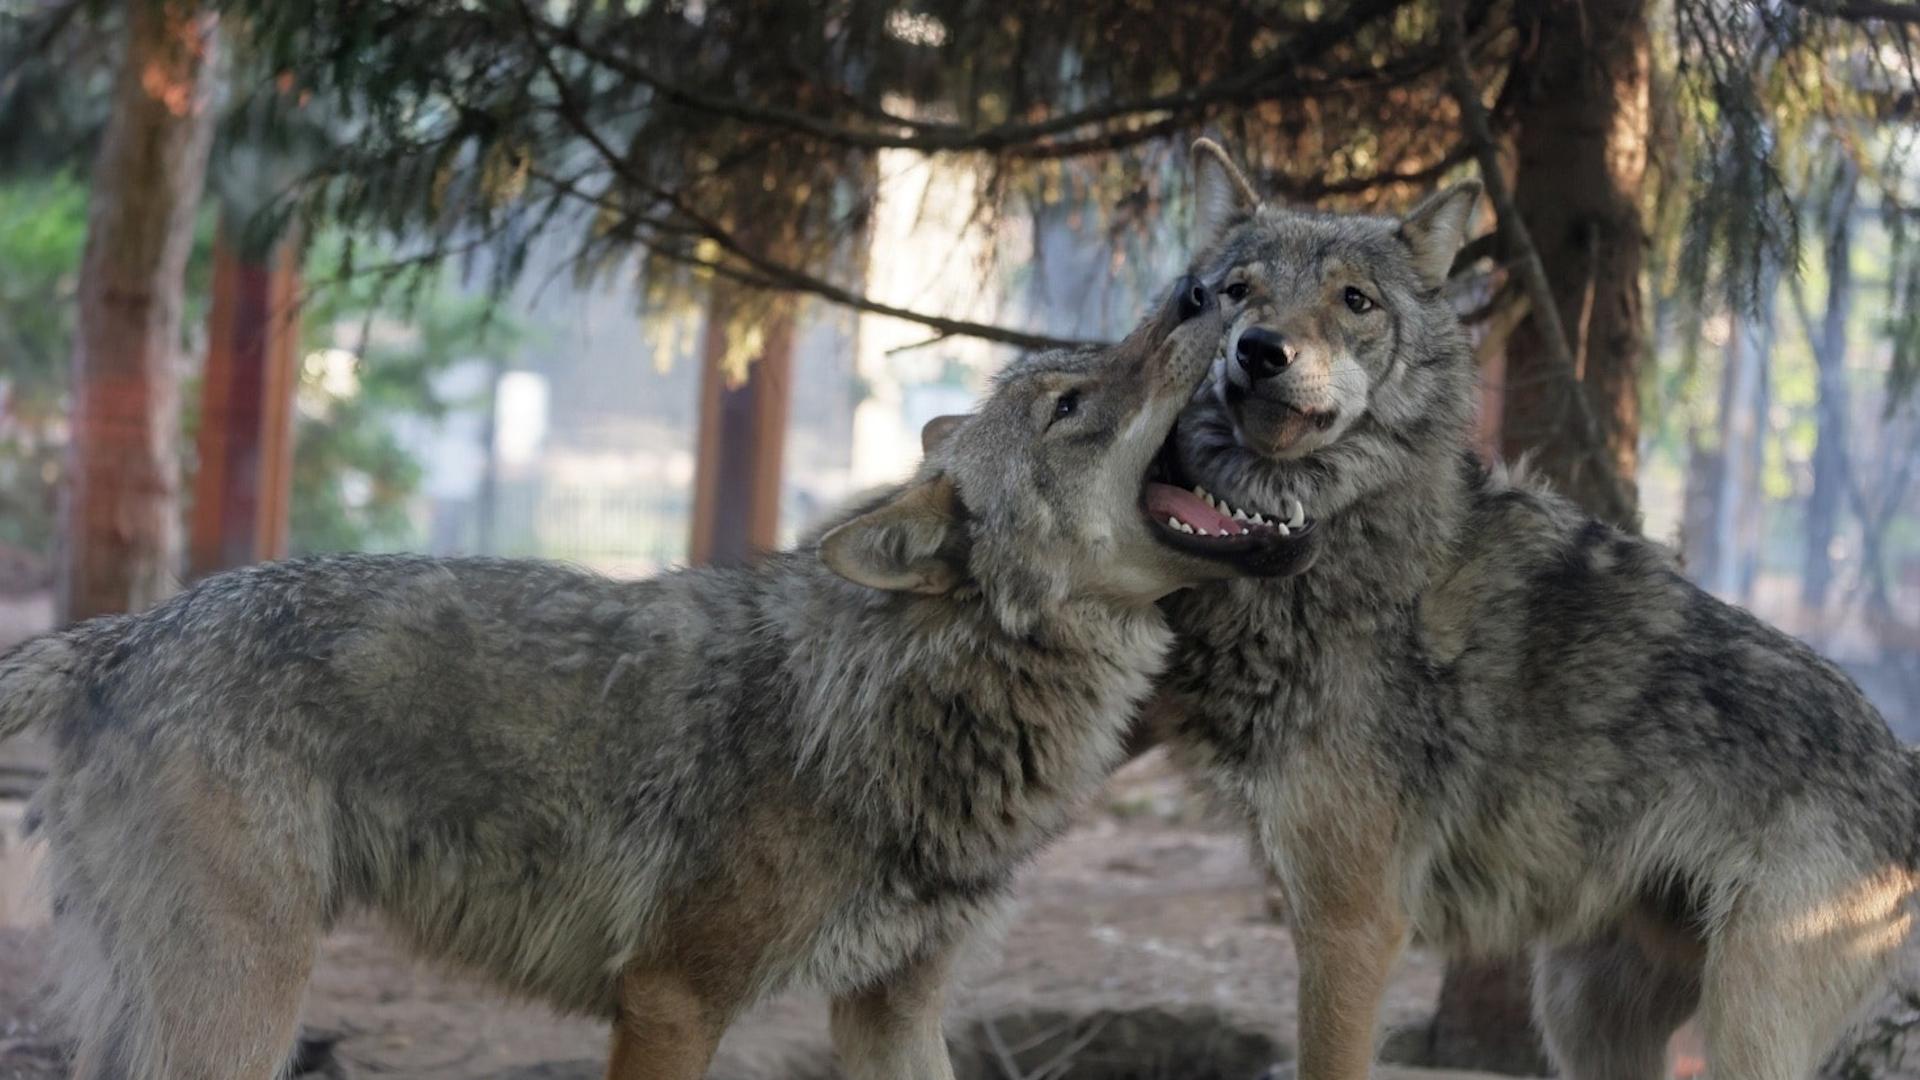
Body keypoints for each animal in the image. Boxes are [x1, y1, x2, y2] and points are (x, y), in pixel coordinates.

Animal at [0, 274, 1320, 1076]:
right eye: (1070, 405)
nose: (1216, 289)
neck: (908, 687)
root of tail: (127, 631)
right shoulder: (672, 999)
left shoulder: (895, 1009)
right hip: (244, 1004)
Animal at [1152, 141, 1920, 1076]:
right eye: (1236, 291)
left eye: (1354, 301)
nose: (1260, 350)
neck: (1316, 532)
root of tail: (1901, 763)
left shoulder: (1351, 922)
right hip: (1580, 1011)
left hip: (1739, 1031)